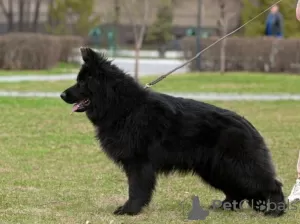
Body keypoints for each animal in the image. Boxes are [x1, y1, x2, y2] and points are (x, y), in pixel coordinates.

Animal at [60, 47, 286, 217]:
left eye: (82, 82)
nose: (61, 95)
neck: (124, 107)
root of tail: (248, 125)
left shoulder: (139, 164)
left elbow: (136, 189)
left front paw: (130, 210)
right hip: (217, 170)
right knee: (236, 191)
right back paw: (225, 206)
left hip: (237, 167)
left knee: (271, 184)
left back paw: (275, 210)